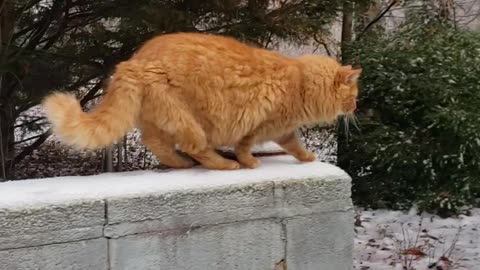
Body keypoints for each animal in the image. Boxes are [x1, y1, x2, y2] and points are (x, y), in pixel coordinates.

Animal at [43, 32, 360, 170]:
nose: (356, 108)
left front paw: (307, 158)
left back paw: (180, 164)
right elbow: (245, 146)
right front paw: (249, 162)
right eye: (354, 96)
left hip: (160, 121)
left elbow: (295, 146)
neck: (300, 82)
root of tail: (133, 62)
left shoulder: (282, 131)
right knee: (196, 148)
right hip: (190, 123)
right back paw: (224, 164)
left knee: (159, 145)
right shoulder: (259, 125)